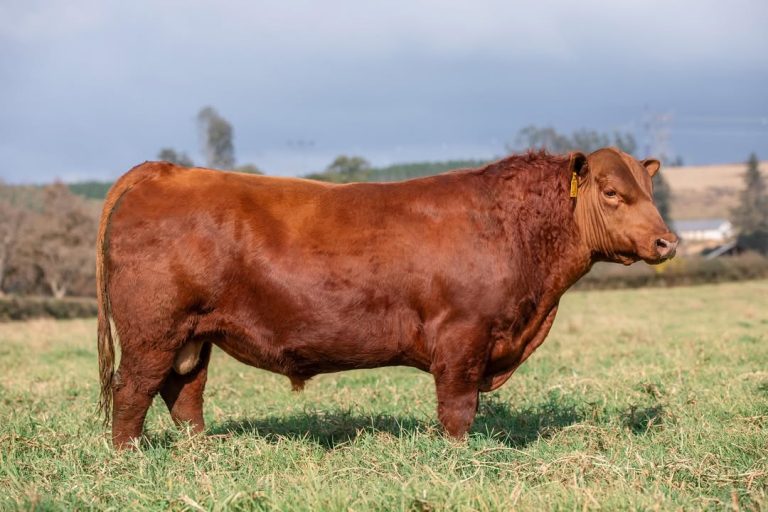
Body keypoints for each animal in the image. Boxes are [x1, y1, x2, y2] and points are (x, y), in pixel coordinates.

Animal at [96, 147, 677, 448]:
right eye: (612, 193)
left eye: (650, 192)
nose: (666, 241)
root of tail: (167, 169)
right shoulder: (463, 338)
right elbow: (458, 409)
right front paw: (458, 458)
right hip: (153, 331)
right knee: (133, 391)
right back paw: (129, 455)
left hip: (193, 335)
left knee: (183, 393)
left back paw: (201, 452)